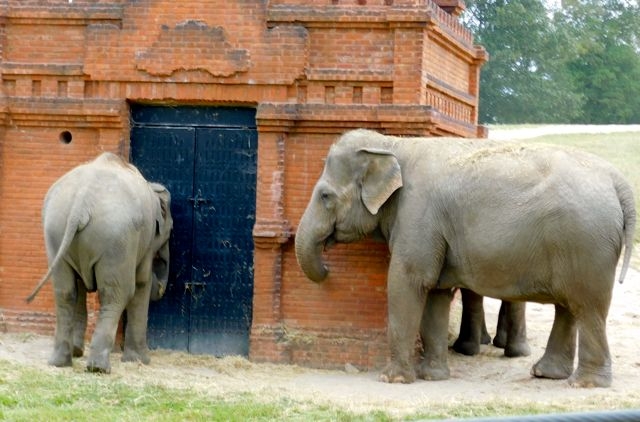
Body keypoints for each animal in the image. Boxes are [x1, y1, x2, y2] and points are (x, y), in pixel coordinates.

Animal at [26, 152, 172, 372]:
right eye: (170, 231)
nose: (162, 286)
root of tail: (81, 203)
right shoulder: (143, 242)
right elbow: (142, 283)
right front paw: (140, 360)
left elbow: (79, 288)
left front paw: (78, 351)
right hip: (117, 238)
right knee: (116, 293)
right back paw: (98, 368)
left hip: (55, 231)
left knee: (65, 291)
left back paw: (60, 362)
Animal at [296, 129, 636, 390]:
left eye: (325, 196)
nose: (327, 271)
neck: (393, 144)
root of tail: (617, 181)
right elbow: (435, 292)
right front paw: (432, 377)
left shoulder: (418, 214)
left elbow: (409, 281)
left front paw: (393, 380)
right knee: (569, 306)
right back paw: (547, 374)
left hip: (586, 243)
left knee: (587, 306)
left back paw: (585, 383)